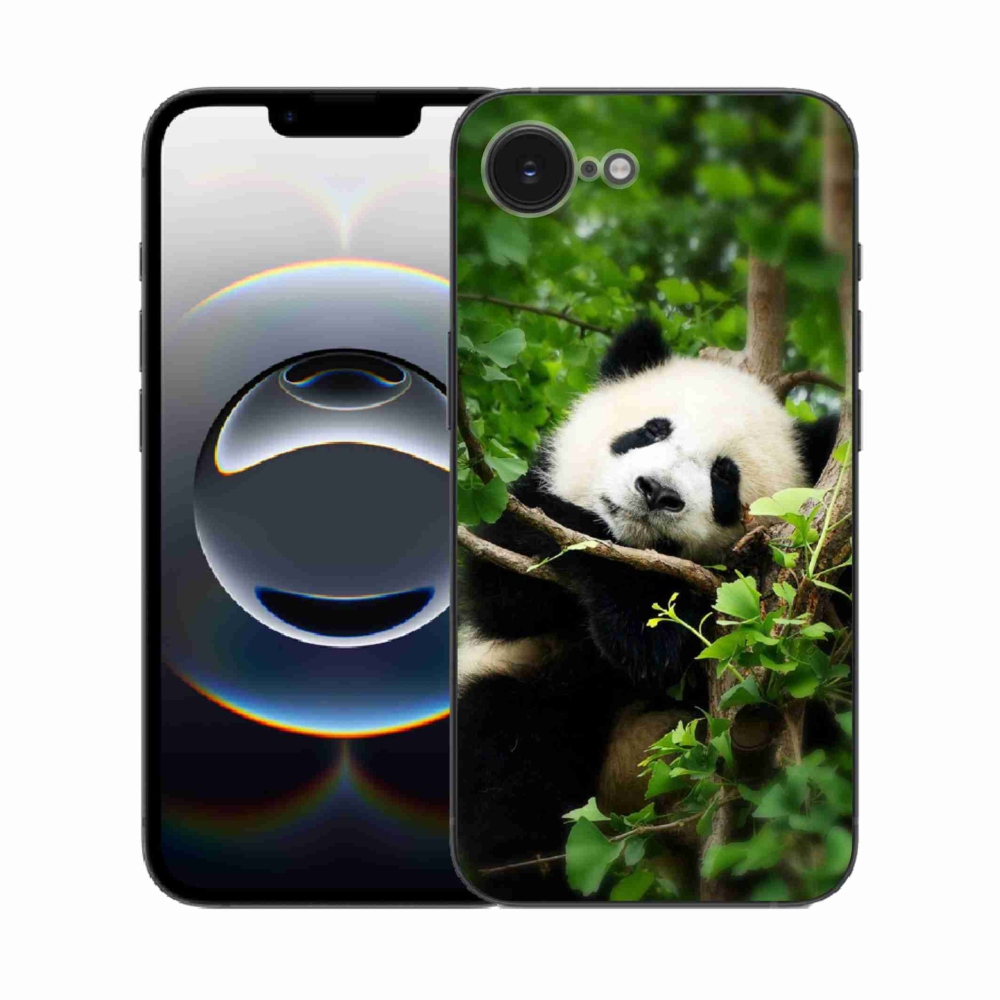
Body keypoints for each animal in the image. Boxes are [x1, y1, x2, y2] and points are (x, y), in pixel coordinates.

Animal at [455, 318, 838, 901]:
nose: (657, 491)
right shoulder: (514, 534)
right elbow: (506, 581)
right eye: (651, 430)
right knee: (507, 745)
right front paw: (643, 619)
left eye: (725, 477)